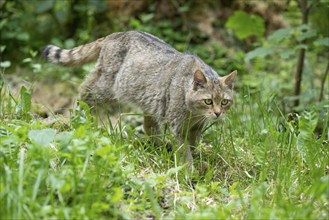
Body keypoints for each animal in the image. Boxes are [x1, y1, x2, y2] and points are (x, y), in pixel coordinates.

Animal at [43, 30, 236, 162]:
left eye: (224, 102)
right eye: (208, 101)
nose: (218, 113)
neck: (194, 113)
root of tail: (116, 34)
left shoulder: (196, 127)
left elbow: (193, 145)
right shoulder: (177, 127)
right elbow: (183, 151)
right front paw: (188, 171)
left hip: (149, 104)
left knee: (149, 127)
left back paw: (158, 145)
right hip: (106, 86)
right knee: (84, 90)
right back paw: (80, 117)